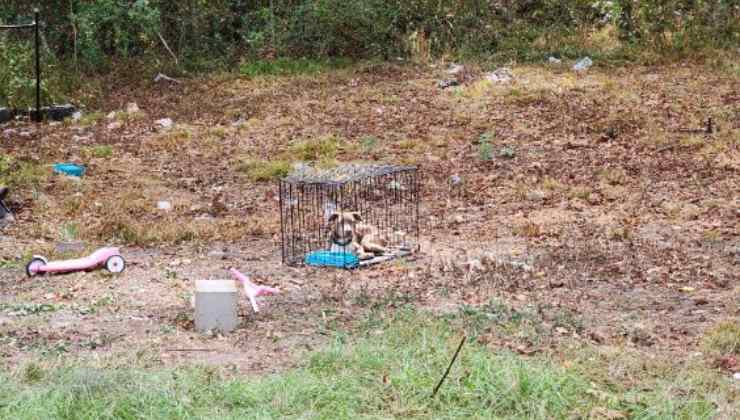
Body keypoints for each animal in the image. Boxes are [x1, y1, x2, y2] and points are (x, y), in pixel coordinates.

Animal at [278, 162, 420, 268]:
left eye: (352, 222)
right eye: (341, 222)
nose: (349, 231)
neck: (344, 243)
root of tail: (382, 230)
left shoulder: (360, 247)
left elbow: (360, 254)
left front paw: (364, 256)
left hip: (368, 241)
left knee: (386, 250)